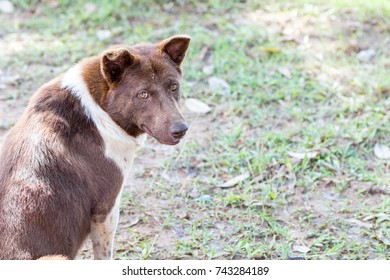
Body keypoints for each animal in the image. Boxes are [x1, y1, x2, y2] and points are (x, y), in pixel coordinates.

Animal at [0, 35, 190, 260]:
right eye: (143, 94)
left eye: (173, 87)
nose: (181, 130)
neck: (99, 109)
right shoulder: (105, 210)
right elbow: (104, 254)